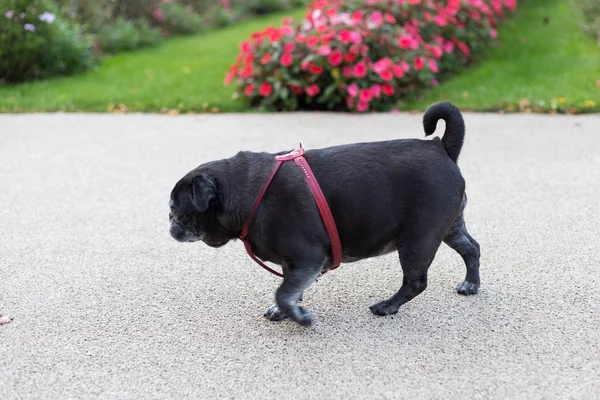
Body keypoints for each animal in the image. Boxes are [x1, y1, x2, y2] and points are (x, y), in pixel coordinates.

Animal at [169, 101, 478, 326]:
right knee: (471, 248)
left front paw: (299, 317)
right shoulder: (296, 264)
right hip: (449, 227)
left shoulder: (307, 257)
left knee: (415, 282)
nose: (169, 225)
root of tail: (441, 147)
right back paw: (471, 284)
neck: (249, 192)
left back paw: (387, 306)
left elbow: (284, 292)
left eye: (176, 210)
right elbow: (290, 288)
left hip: (417, 239)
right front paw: (286, 312)